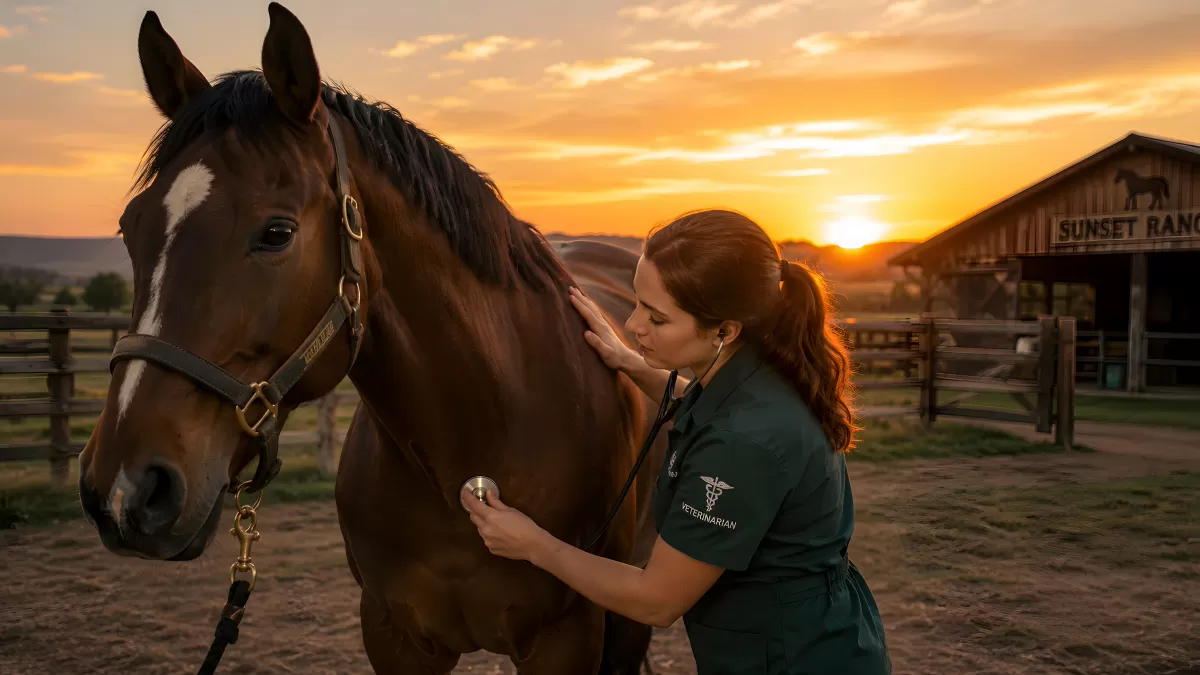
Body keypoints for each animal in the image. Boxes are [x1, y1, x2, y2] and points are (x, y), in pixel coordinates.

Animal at [76, 4, 669, 673]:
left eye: (277, 232)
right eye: (130, 228)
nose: (122, 490)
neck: (471, 449)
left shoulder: (567, 639)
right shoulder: (393, 634)